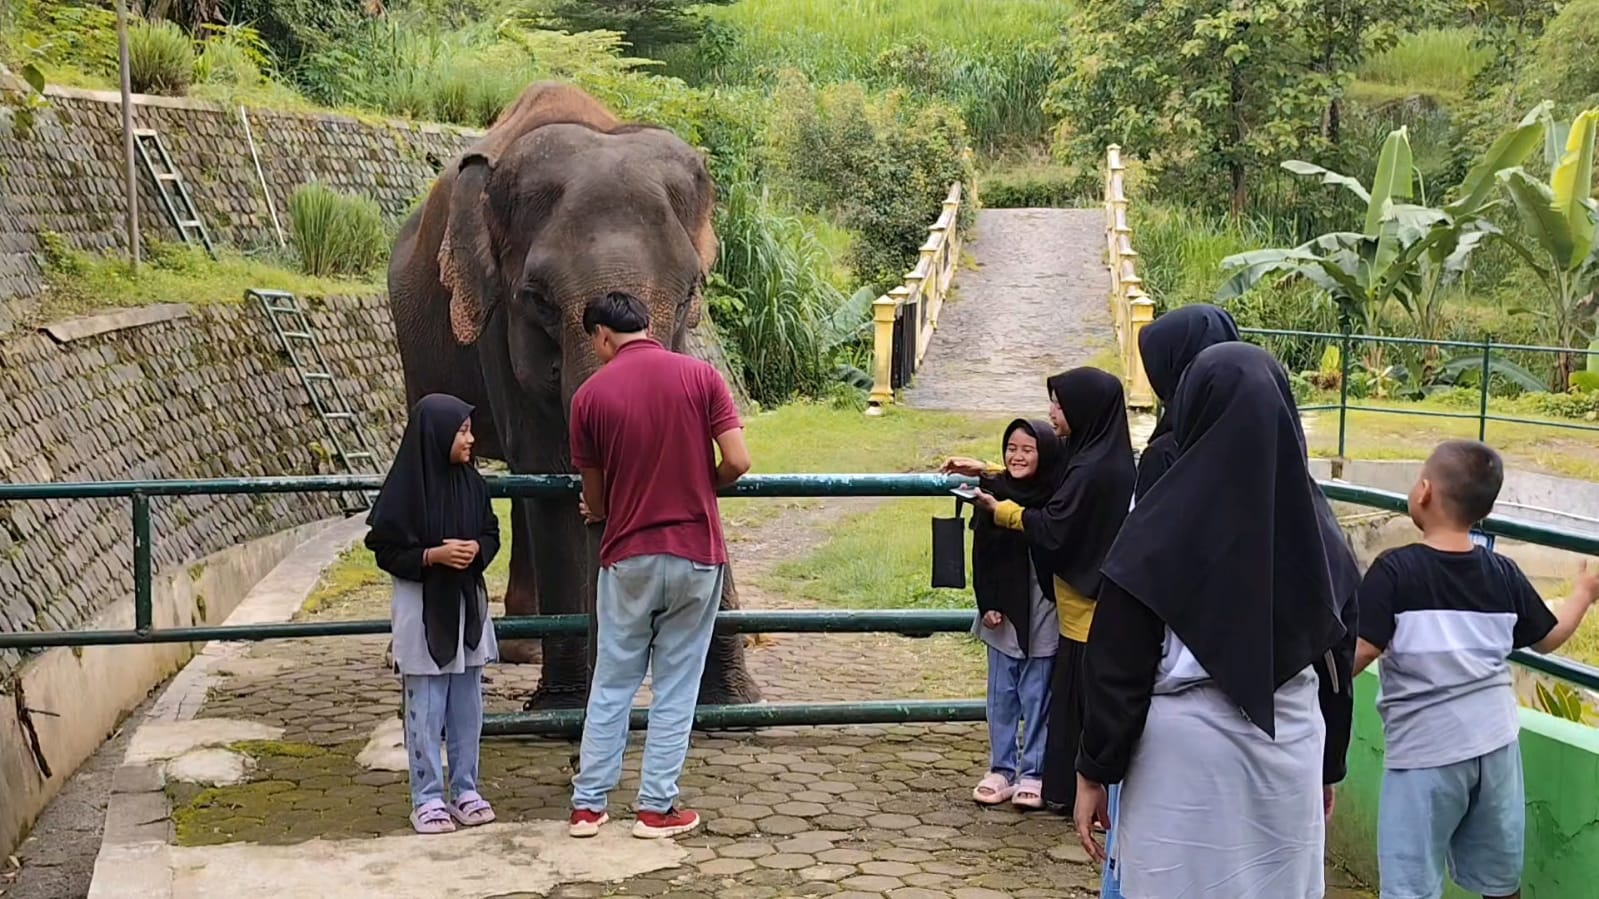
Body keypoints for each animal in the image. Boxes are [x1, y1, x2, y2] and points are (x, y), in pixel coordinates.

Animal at [385, 80, 761, 703]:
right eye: (538, 300)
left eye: (691, 291)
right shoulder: (495, 324)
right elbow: (550, 466)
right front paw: (562, 705)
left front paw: (734, 703)